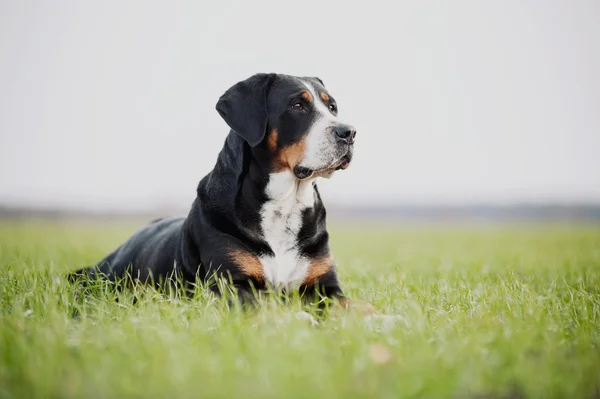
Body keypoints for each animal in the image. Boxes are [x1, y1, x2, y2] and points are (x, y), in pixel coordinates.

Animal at [69, 72, 394, 322]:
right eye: (298, 105)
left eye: (332, 107)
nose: (348, 132)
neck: (285, 206)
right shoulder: (232, 285)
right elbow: (269, 307)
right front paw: (296, 319)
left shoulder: (325, 287)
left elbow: (357, 304)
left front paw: (384, 319)